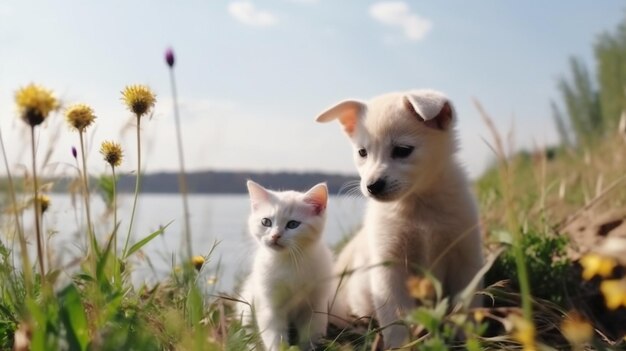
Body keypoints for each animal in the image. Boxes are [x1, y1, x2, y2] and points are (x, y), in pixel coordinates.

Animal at [235, 182, 332, 351]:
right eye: (266, 222)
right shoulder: (270, 306)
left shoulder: (315, 306)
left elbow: (310, 333)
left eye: (293, 224)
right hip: (246, 307)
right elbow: (274, 336)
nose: (275, 236)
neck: (289, 261)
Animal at [316, 89, 482, 348]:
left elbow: (468, 306)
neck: (418, 205)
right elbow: (397, 320)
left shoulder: (466, 259)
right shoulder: (389, 267)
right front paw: (402, 345)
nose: (372, 186)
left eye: (403, 150)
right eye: (362, 152)